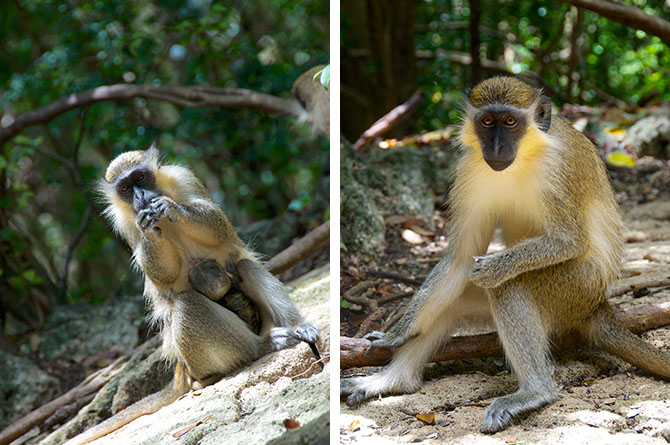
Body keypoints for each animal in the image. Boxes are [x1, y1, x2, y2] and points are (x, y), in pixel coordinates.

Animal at [344, 77, 670, 434]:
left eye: (510, 121)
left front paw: (497, 266)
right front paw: (395, 334)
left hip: (573, 289)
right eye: (488, 121)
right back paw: (393, 380)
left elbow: (568, 241)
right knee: (453, 300)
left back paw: (535, 391)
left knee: (509, 286)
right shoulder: (469, 171)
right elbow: (461, 258)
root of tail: (598, 303)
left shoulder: (557, 171)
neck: (526, 155)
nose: (497, 147)